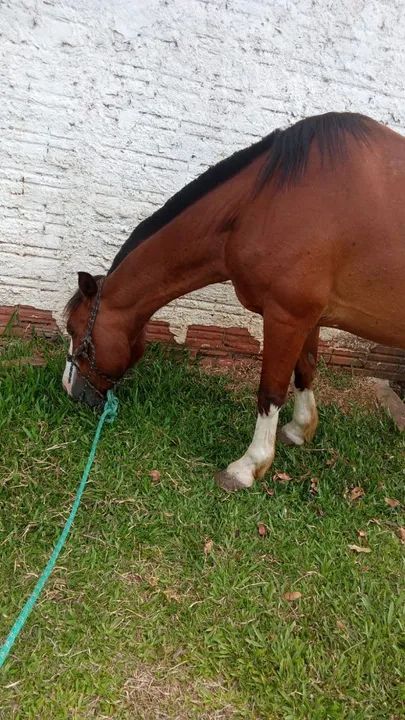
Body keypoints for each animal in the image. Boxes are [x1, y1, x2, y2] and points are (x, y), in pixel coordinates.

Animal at [63, 111, 405, 491]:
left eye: (73, 329)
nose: (70, 390)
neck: (264, 201)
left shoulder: (285, 316)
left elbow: (270, 392)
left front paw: (247, 467)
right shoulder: (308, 317)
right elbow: (305, 370)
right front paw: (299, 430)